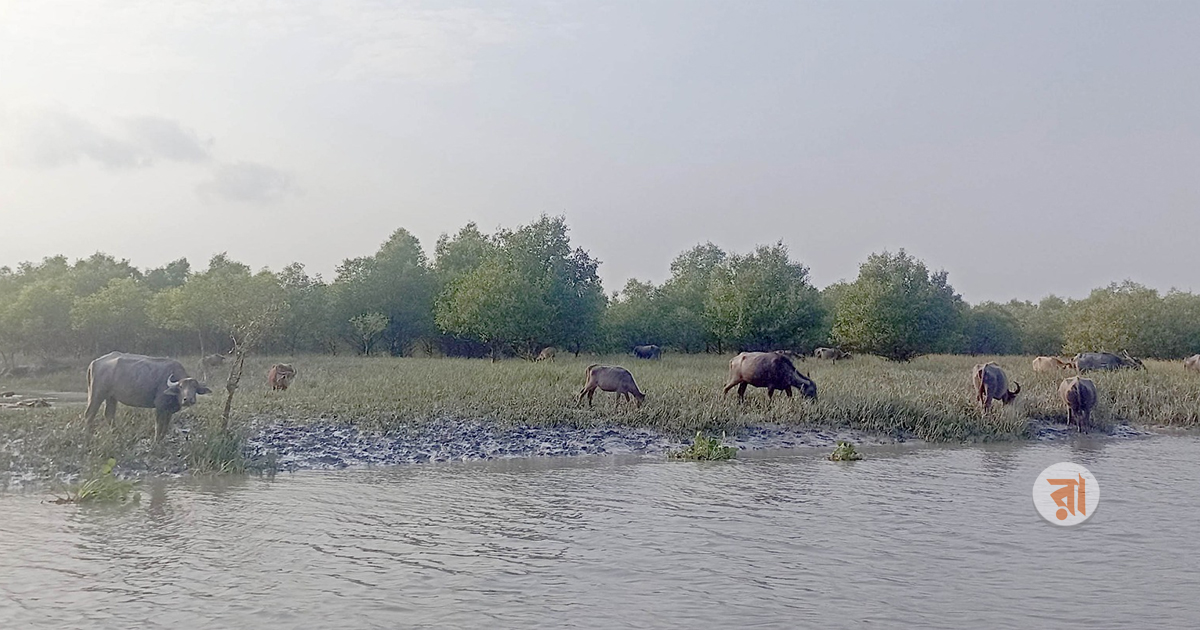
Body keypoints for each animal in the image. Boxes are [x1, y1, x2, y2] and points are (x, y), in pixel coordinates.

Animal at [83, 352, 212, 441]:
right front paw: (156, 441)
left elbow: (165, 427)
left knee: (109, 415)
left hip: (111, 397)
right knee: (89, 414)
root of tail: (95, 362)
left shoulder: (168, 411)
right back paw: (88, 436)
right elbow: (158, 426)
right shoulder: (159, 407)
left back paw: (116, 434)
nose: (188, 399)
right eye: (180, 387)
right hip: (97, 394)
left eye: (194, 387)